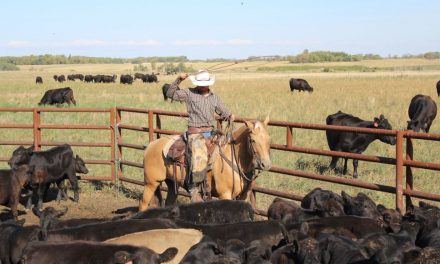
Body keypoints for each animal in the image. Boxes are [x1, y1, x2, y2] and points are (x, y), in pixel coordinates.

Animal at [139, 117, 272, 210]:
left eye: (268, 139)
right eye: (253, 140)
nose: (266, 164)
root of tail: (151, 145)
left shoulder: (243, 196)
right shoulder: (225, 194)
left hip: (171, 183)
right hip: (151, 183)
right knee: (143, 203)